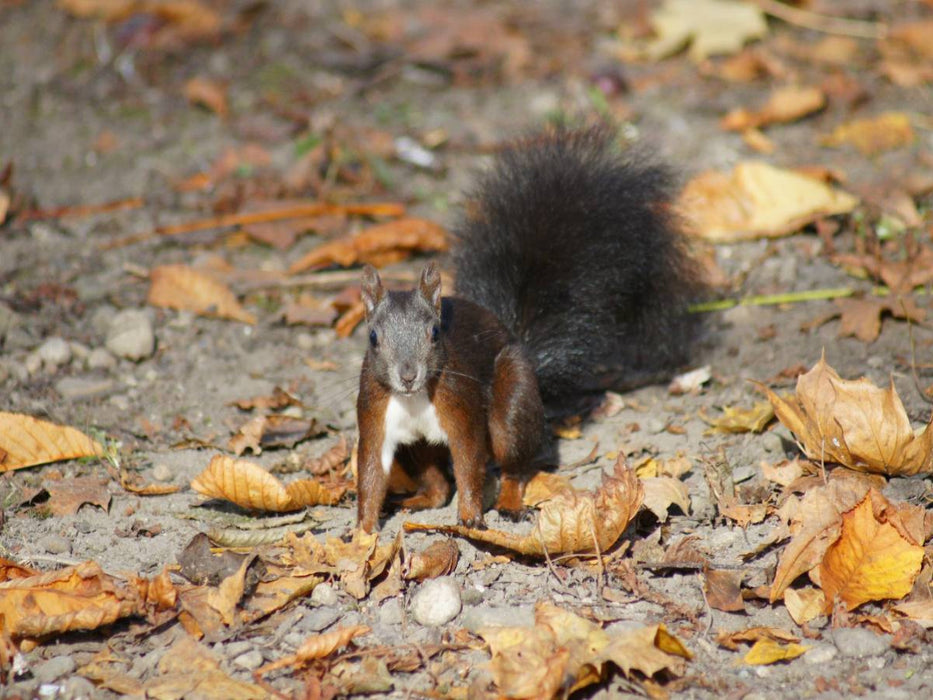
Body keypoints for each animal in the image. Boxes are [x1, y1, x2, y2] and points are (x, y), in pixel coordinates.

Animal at [355, 125, 703, 533]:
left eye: (435, 333)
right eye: (373, 338)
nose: (408, 375)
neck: (411, 399)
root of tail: (517, 341)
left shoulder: (461, 409)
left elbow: (469, 462)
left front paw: (471, 516)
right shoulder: (374, 415)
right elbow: (370, 473)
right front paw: (362, 533)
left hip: (513, 399)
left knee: (513, 465)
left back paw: (508, 503)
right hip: (417, 448)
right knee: (436, 480)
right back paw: (420, 500)